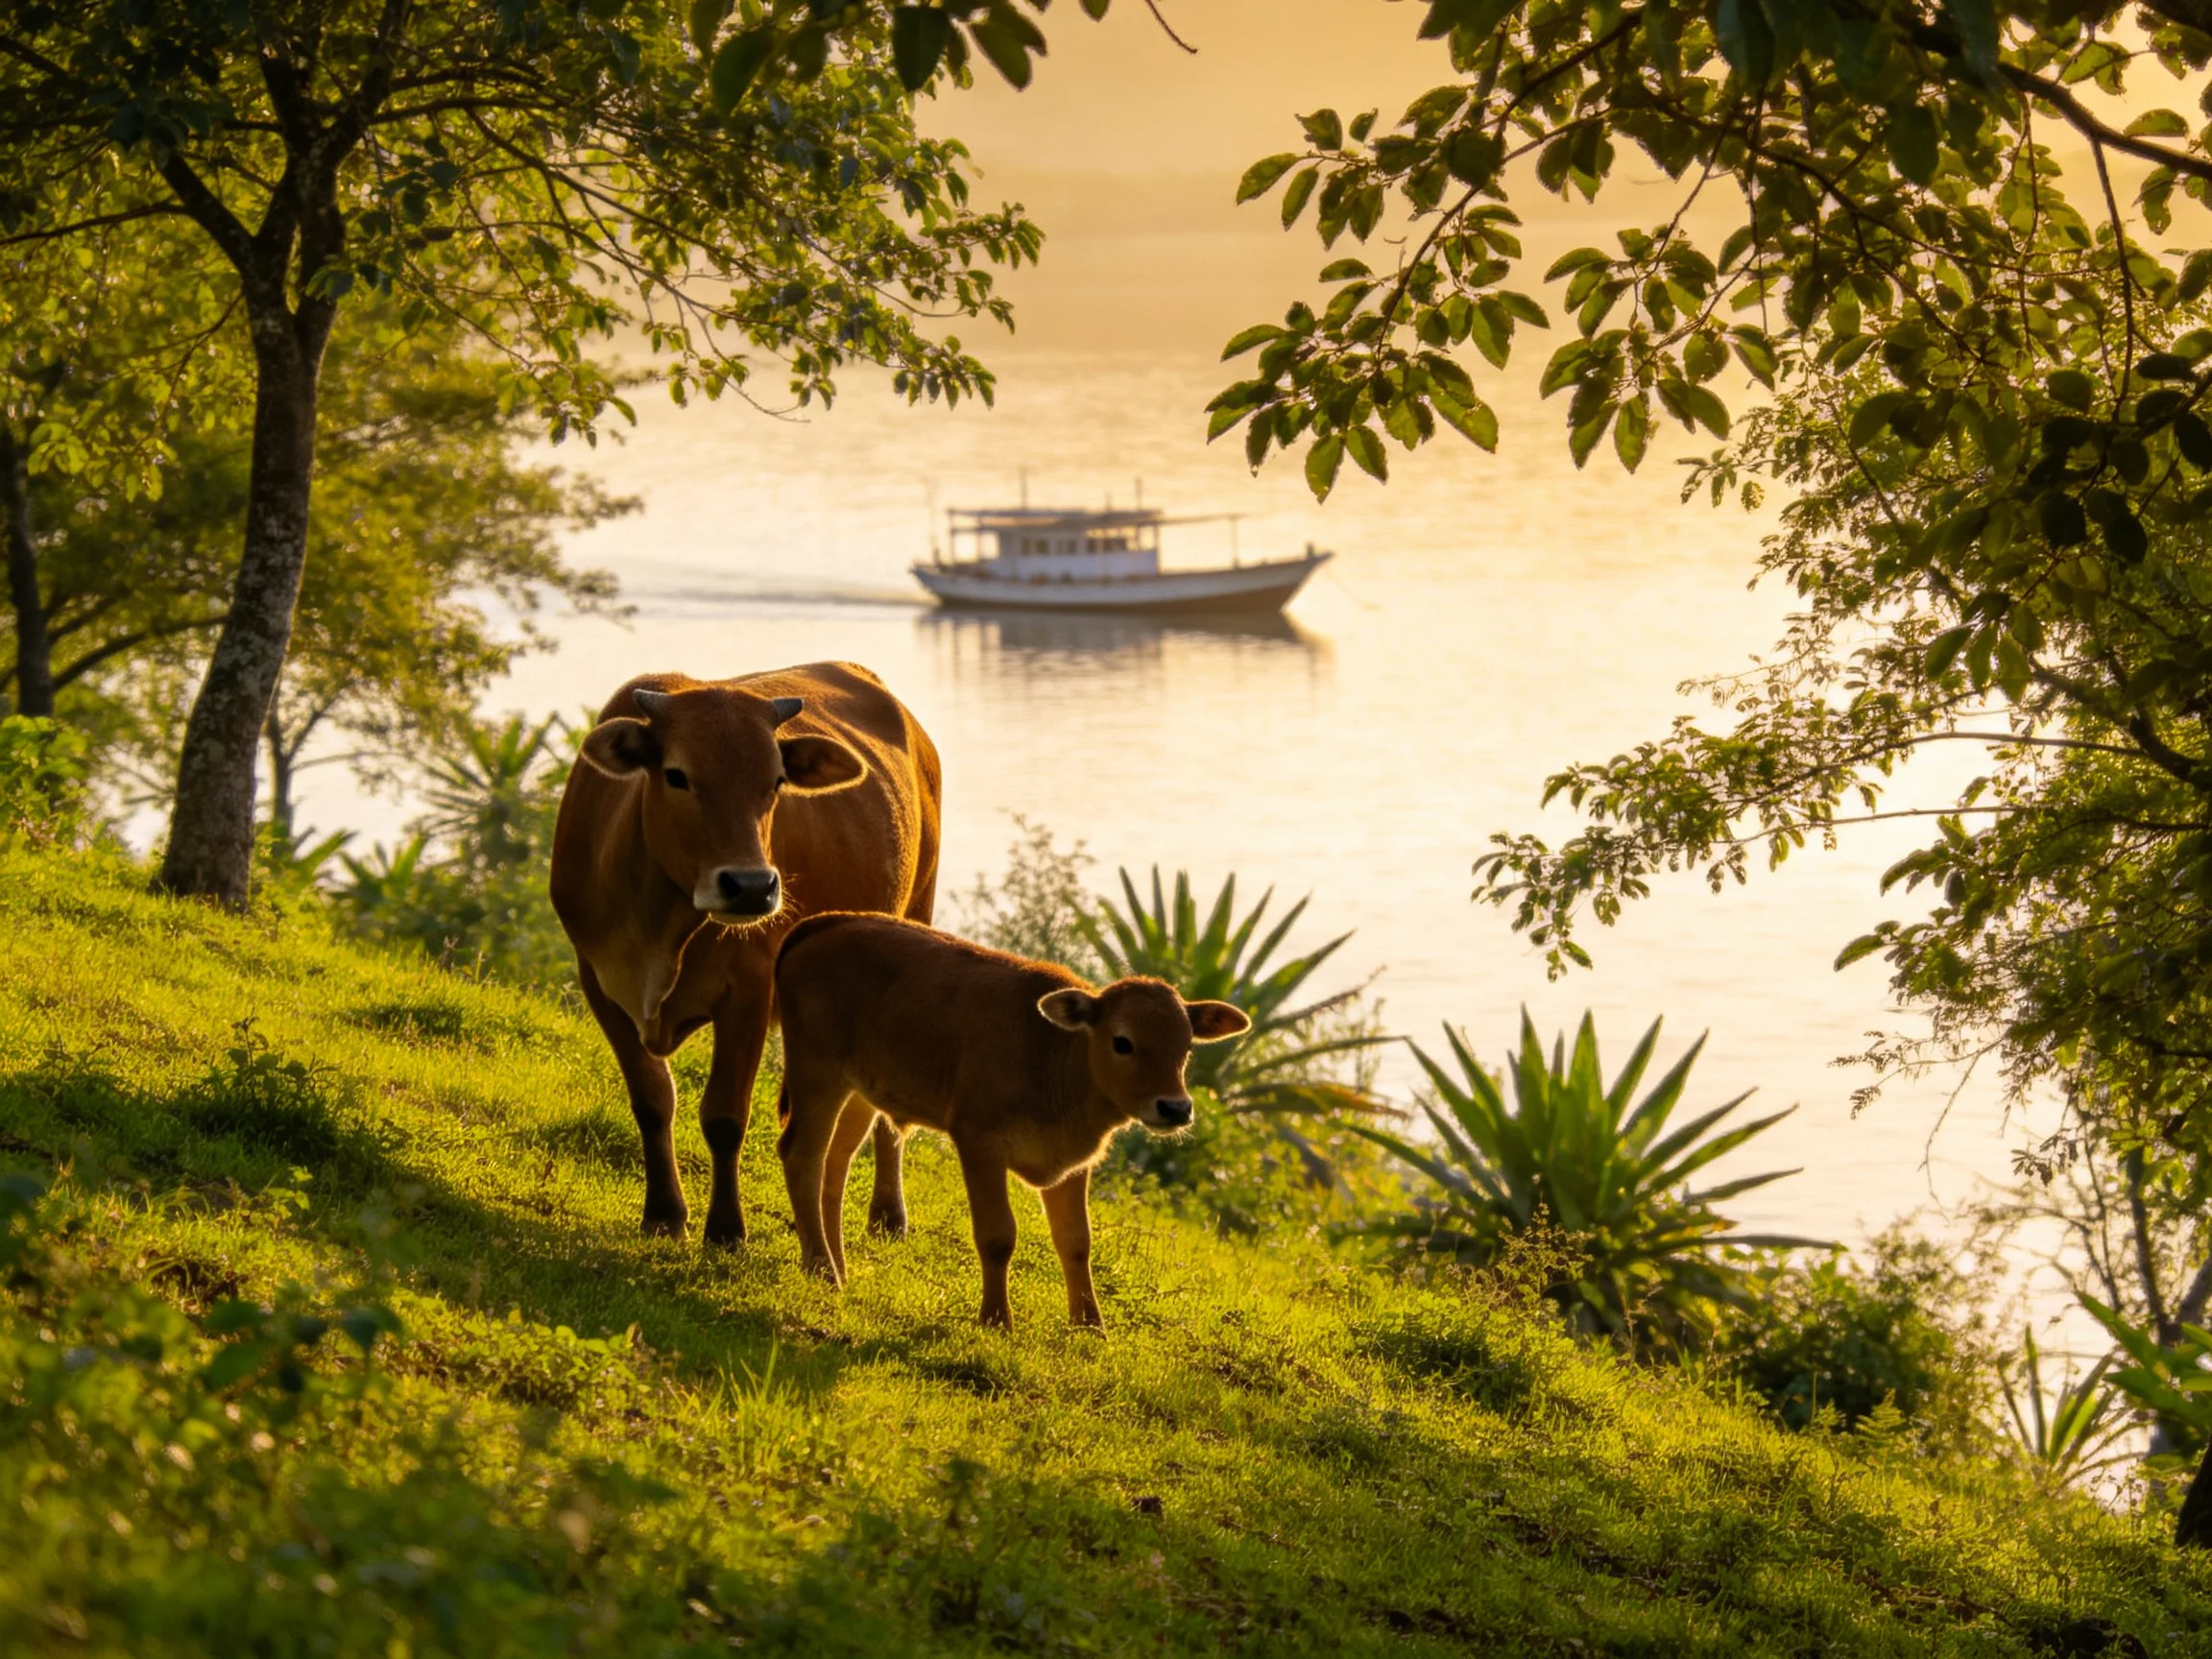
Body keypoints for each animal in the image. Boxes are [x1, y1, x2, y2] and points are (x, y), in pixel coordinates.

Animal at [550, 664, 940, 1248]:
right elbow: (651, 1099)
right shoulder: (599, 981)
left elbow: (725, 1117)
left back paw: (888, 1214)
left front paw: (726, 1229)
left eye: (776, 781)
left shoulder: (750, 990)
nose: (751, 887)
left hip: (916, 917)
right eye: (677, 775)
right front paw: (663, 1213)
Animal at [773, 912, 1250, 1331]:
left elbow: (1076, 1241)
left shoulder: (1073, 1163)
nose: (1175, 1108)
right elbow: (997, 1235)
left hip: (858, 1091)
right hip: (817, 1073)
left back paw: (836, 1267)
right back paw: (821, 1267)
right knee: (803, 1157)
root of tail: (831, 921)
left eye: (1186, 1047)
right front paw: (996, 1319)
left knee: (834, 1166)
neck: (1053, 1053)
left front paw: (1090, 1326)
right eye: (1123, 1042)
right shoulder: (978, 1142)